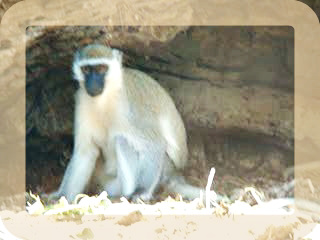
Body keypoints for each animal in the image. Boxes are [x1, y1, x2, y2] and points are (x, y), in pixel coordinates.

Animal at [50, 43, 205, 202]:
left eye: (101, 69)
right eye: (86, 69)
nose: (92, 82)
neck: (105, 98)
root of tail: (175, 174)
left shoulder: (130, 109)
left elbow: (153, 144)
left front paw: (142, 191)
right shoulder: (82, 101)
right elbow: (85, 152)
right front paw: (62, 196)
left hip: (164, 168)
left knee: (122, 140)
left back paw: (124, 193)